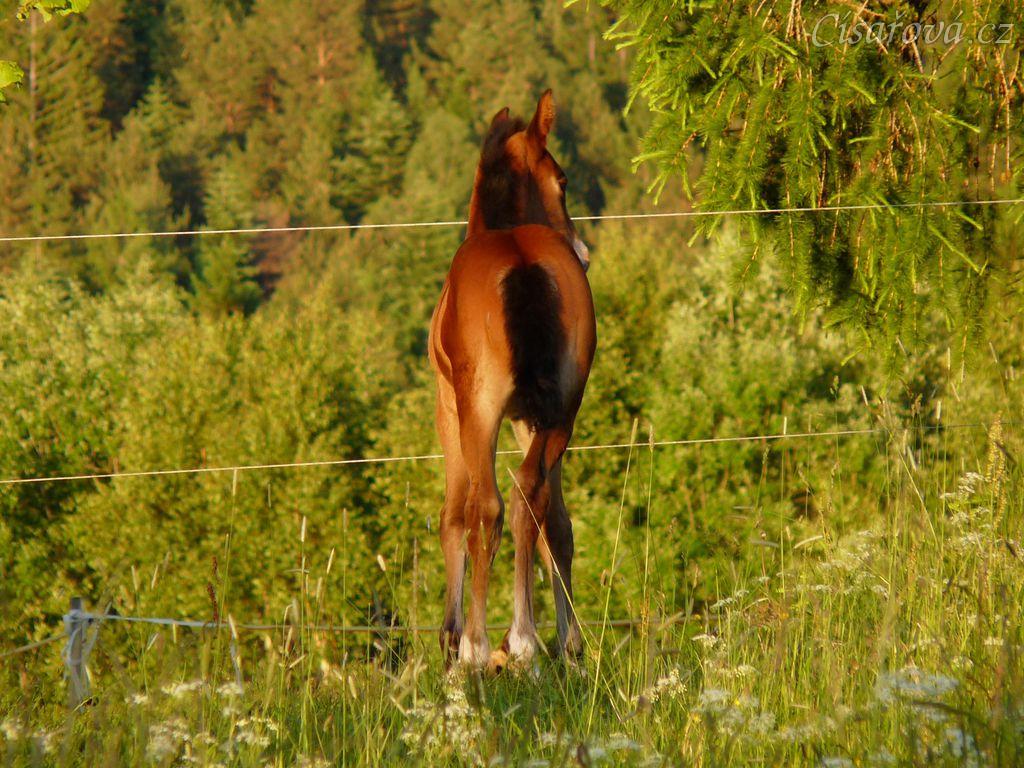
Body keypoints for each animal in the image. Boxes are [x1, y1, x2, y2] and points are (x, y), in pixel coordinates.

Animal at [428, 90, 596, 668]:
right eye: (563, 180)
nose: (583, 252)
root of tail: (522, 262)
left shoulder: (449, 406)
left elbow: (455, 515)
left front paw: (453, 637)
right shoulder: (531, 416)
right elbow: (557, 524)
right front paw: (569, 642)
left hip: (478, 410)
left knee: (489, 505)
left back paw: (482, 645)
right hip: (563, 410)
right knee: (530, 495)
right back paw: (527, 639)